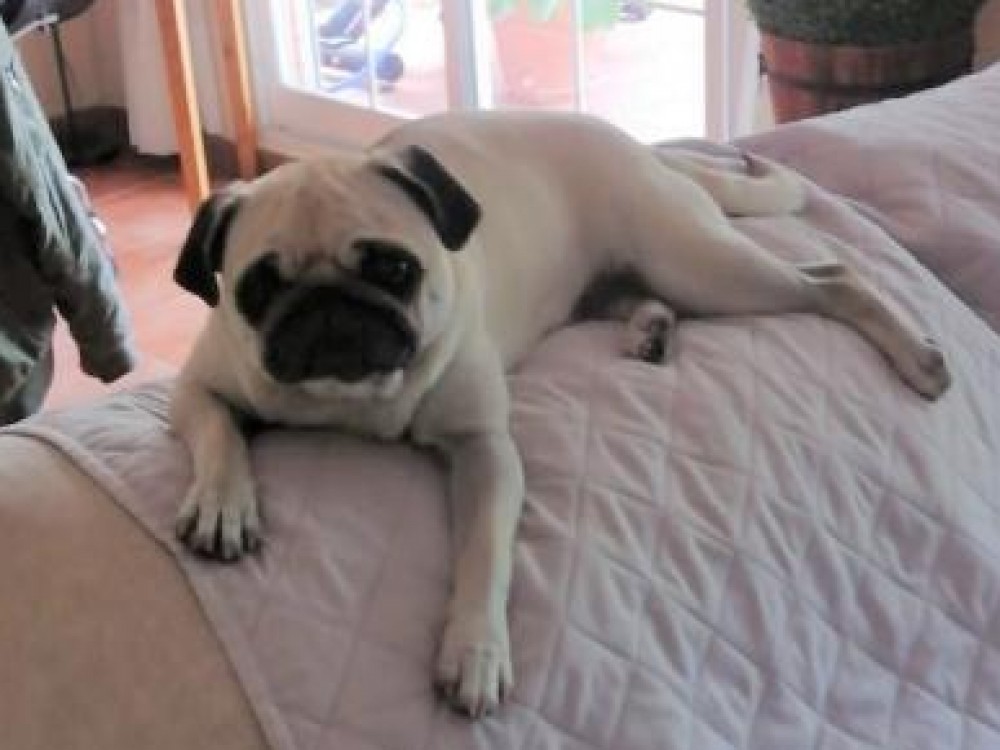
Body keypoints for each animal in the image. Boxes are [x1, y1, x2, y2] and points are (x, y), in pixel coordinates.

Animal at [169, 110, 951, 718]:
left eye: (394, 269)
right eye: (259, 288)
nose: (328, 309)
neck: (353, 399)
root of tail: (639, 147)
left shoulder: (485, 453)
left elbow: (483, 555)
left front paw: (475, 650)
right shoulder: (199, 386)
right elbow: (218, 435)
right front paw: (222, 505)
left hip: (702, 266)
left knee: (832, 279)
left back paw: (913, 354)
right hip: (638, 280)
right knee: (655, 297)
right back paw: (650, 330)